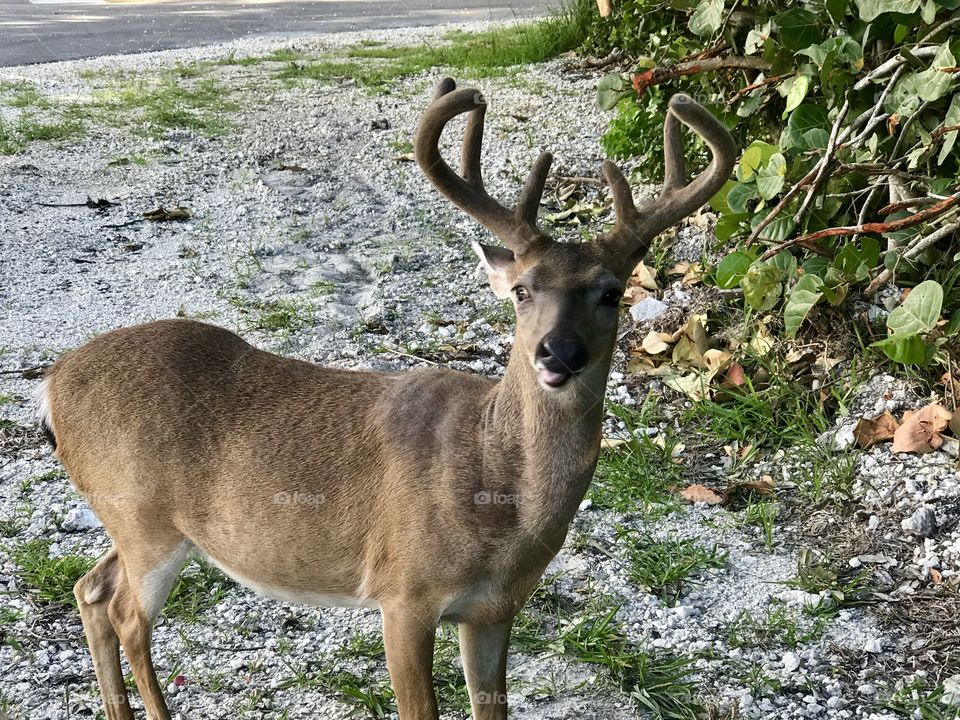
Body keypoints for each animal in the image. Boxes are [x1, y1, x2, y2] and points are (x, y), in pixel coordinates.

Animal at [35, 77, 735, 720]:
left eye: (612, 293)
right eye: (522, 291)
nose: (558, 354)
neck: (499, 496)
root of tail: (51, 384)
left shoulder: (495, 608)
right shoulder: (403, 591)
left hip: (137, 521)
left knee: (90, 587)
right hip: (144, 515)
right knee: (127, 614)